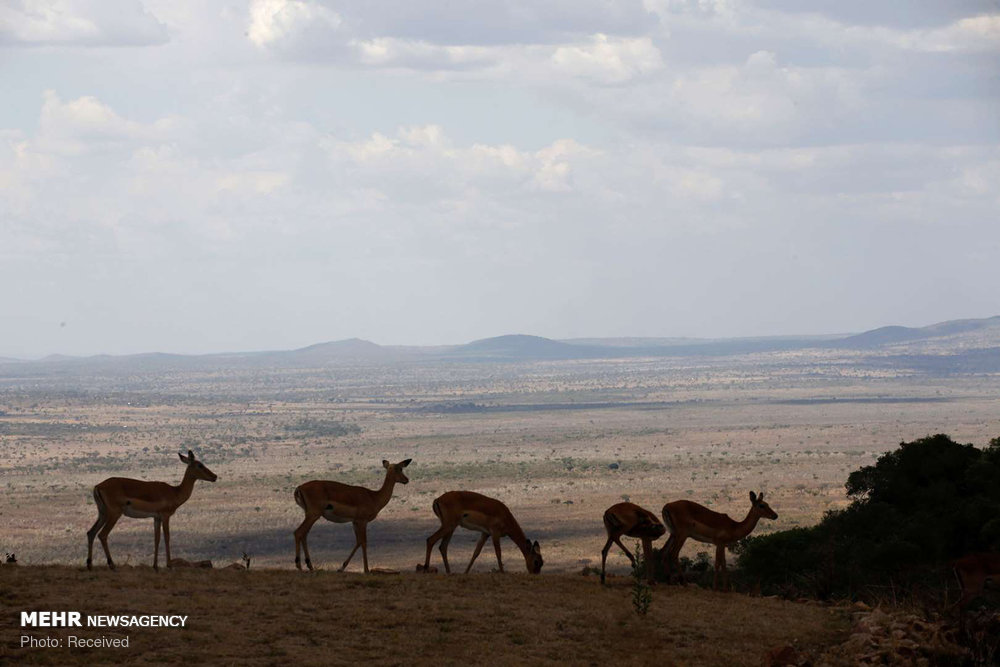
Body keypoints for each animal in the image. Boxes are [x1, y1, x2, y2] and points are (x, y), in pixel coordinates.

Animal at [86, 452, 219, 572]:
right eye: (200, 465)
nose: (215, 476)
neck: (175, 492)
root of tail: (98, 486)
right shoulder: (165, 516)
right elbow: (167, 537)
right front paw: (169, 566)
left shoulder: (156, 517)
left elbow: (157, 538)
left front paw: (155, 566)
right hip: (114, 514)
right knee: (102, 535)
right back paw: (112, 565)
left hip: (102, 514)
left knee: (91, 532)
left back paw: (89, 565)